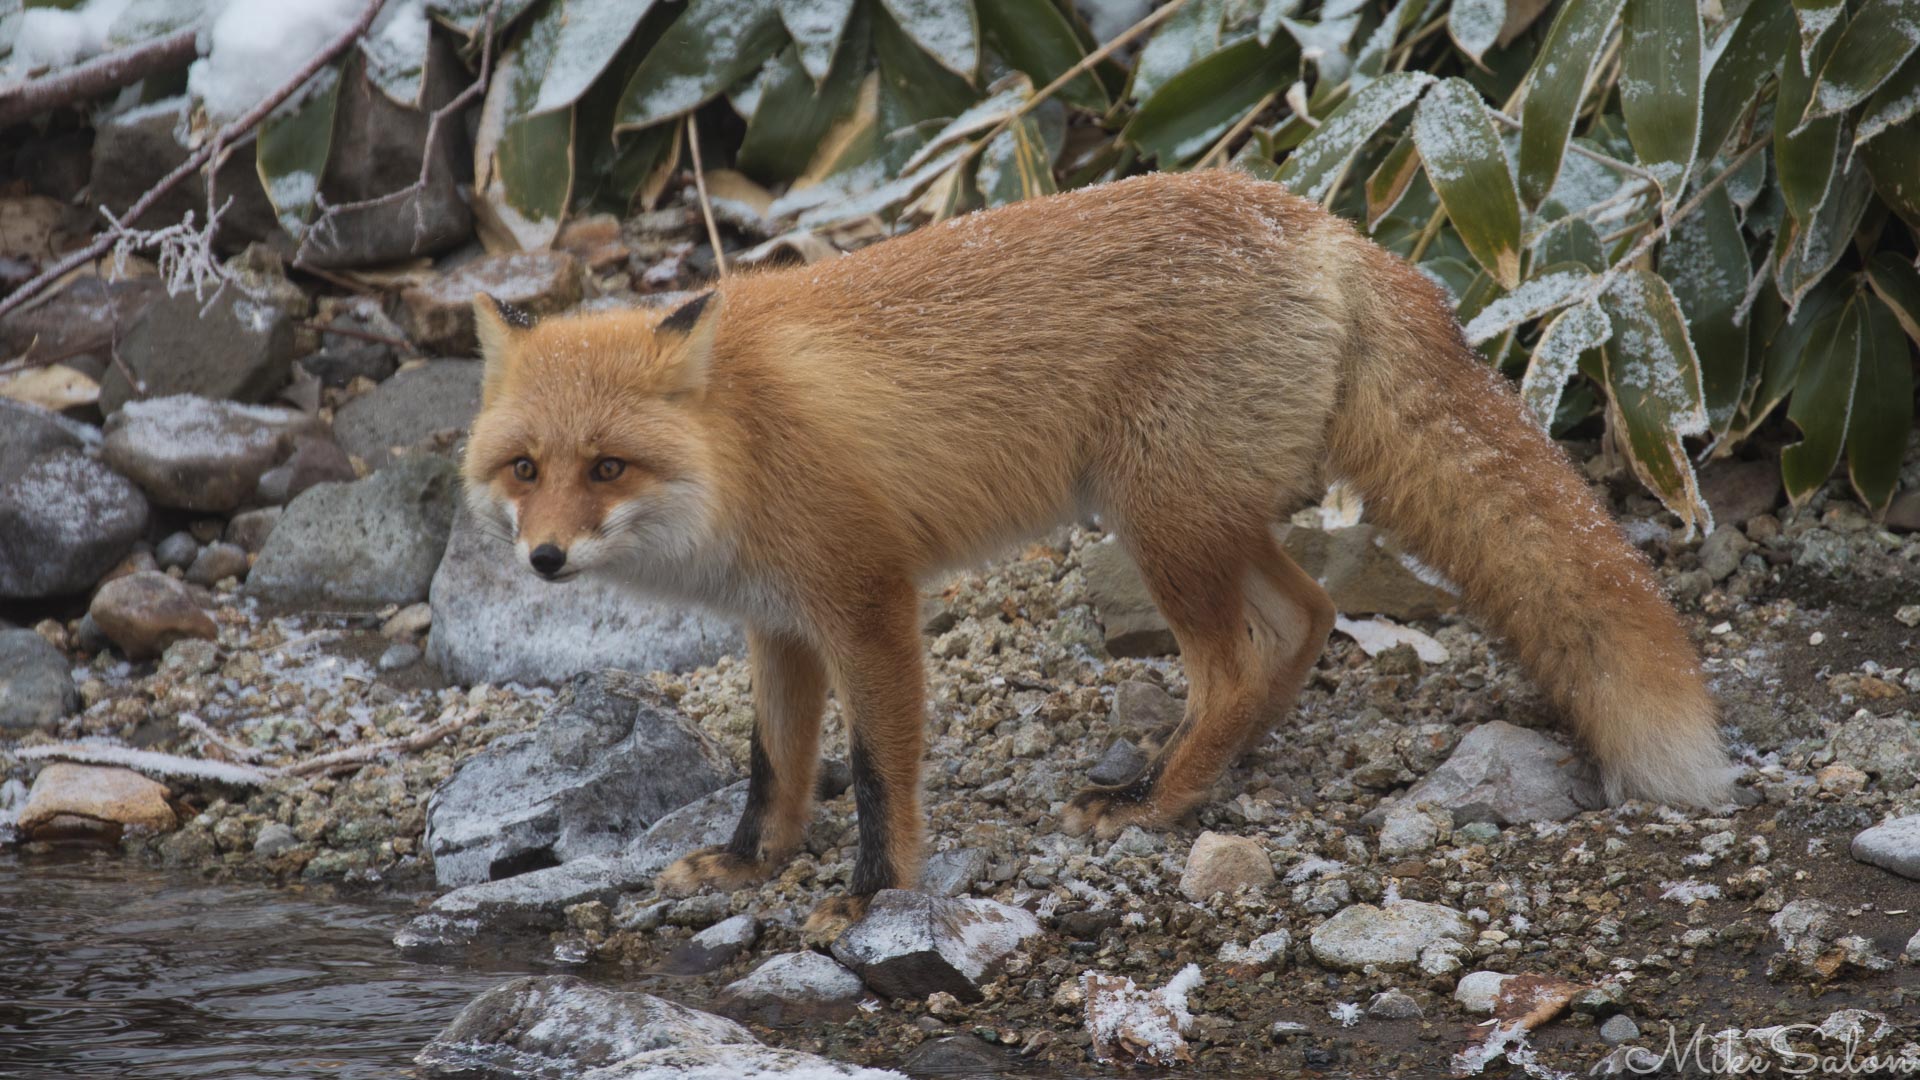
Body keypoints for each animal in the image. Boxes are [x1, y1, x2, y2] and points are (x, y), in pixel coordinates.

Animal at [461, 169, 1731, 932]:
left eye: (607, 468)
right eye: (525, 469)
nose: (544, 563)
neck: (741, 442)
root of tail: (1313, 218)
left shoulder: (867, 599)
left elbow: (874, 774)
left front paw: (872, 898)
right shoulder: (779, 624)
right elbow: (773, 768)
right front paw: (745, 869)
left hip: (1157, 519)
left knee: (1239, 654)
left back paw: (1158, 804)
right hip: (1198, 514)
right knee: (1307, 620)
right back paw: (1212, 768)